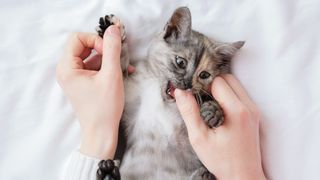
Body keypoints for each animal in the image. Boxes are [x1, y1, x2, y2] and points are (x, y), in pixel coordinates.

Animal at [96, 6, 244, 180]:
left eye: (204, 75)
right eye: (181, 62)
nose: (187, 84)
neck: (162, 100)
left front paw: (213, 111)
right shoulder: (128, 99)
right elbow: (120, 67)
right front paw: (113, 29)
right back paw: (107, 174)